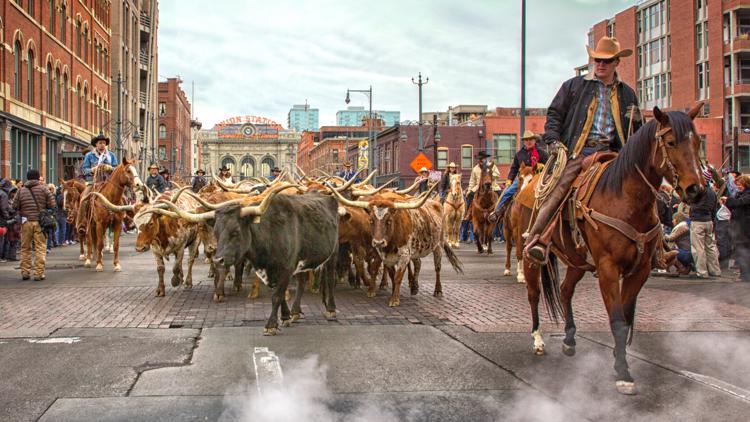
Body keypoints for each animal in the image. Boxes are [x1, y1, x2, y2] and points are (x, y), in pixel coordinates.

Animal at [516, 104, 708, 394]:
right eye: (671, 142)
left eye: (697, 142)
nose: (696, 190)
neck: (626, 198)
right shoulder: (608, 267)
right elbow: (617, 320)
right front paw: (623, 373)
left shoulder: (640, 269)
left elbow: (625, 319)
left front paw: (620, 362)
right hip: (531, 254)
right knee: (534, 293)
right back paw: (537, 338)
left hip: (577, 260)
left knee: (565, 290)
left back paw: (569, 339)